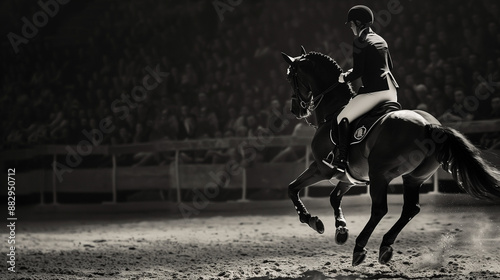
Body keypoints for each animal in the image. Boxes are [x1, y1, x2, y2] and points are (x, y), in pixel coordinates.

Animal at [282, 47, 500, 266]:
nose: (295, 109)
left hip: (380, 174)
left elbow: (292, 188)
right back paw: (385, 246)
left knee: (380, 210)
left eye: (291, 77)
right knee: (410, 209)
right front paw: (341, 230)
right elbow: (334, 198)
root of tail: (428, 126)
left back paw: (360, 248)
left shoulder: (322, 168)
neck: (333, 111)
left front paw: (313, 221)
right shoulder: (350, 177)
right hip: (414, 178)